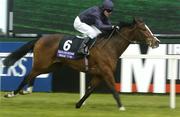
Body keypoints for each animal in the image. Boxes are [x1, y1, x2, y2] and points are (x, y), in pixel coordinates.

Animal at [3, 18, 160, 110]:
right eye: (144, 29)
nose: (157, 41)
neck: (110, 46)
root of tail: (40, 38)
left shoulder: (99, 74)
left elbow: (89, 90)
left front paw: (78, 104)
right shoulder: (106, 71)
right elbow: (113, 89)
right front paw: (121, 107)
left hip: (51, 66)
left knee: (32, 75)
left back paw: (24, 91)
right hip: (42, 64)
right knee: (28, 76)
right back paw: (12, 93)